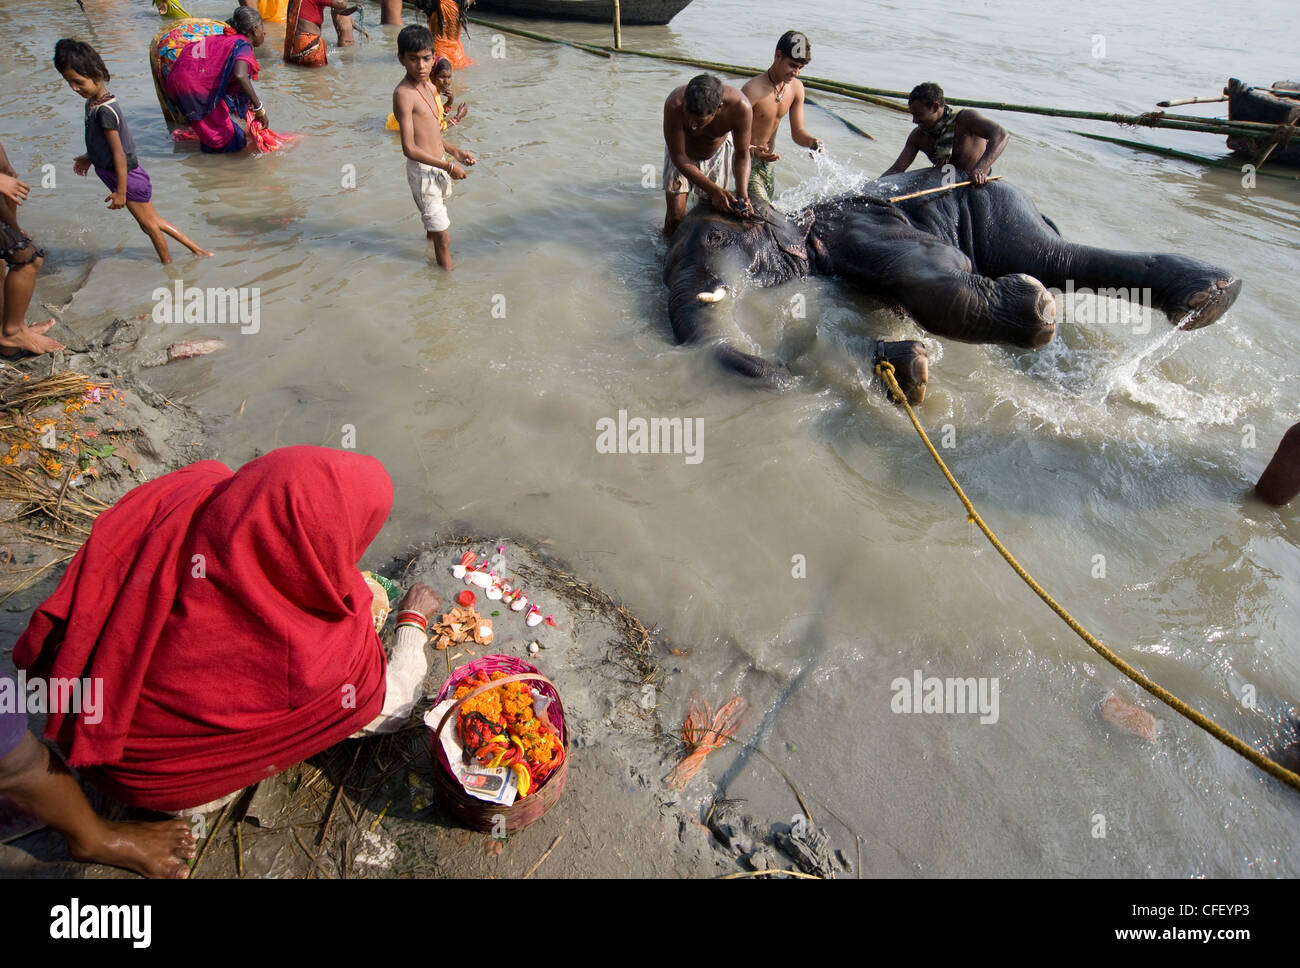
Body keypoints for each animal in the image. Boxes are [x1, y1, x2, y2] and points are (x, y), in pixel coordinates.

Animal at [665, 167, 1242, 402]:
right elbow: (879, 312)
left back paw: (1214, 295)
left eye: (716, 236)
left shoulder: (863, 230)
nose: (781, 369)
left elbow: (932, 274)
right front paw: (910, 373)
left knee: (1051, 256)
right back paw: (1208, 299)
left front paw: (1036, 312)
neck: (801, 219)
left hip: (998, 205)